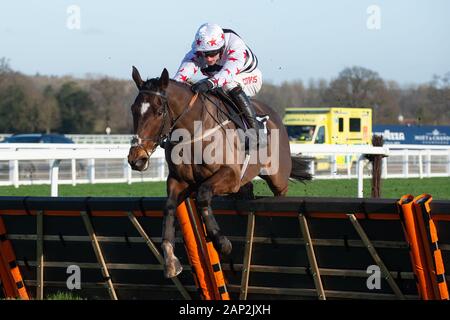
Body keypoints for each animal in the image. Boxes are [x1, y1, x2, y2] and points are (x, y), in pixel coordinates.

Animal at [126, 67, 310, 278]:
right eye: (133, 109)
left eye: (159, 112)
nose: (136, 158)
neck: (193, 131)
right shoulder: (178, 180)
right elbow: (169, 207)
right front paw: (171, 260)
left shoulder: (231, 175)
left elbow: (203, 194)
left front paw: (222, 242)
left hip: (278, 178)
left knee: (280, 194)